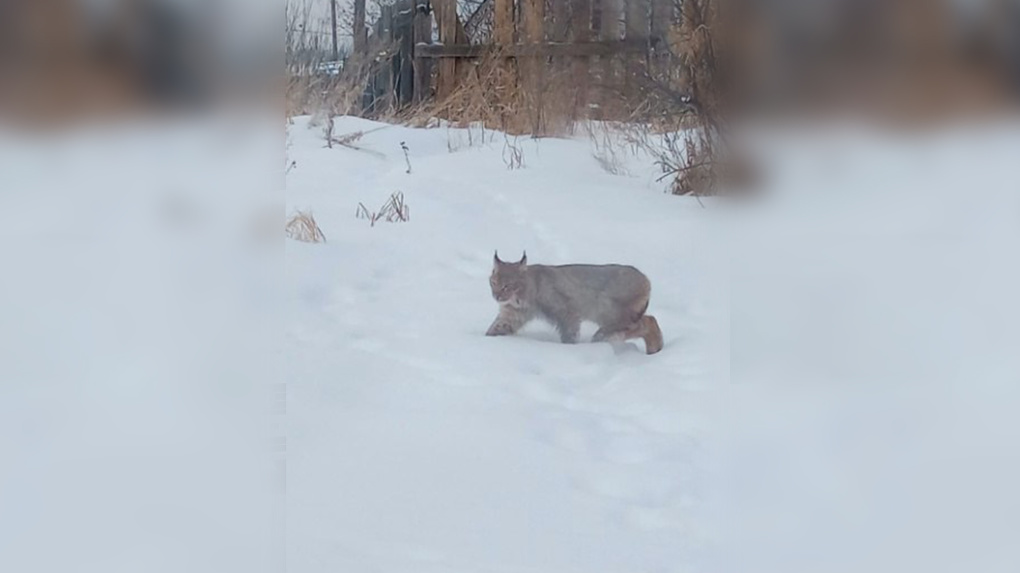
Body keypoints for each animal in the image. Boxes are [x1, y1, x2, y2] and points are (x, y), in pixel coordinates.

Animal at [487, 250, 669, 352]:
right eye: (494, 282)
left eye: (507, 286)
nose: (496, 296)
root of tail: (646, 278)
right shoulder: (512, 315)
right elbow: (495, 328)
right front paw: (485, 340)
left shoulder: (568, 313)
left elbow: (570, 334)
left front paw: (570, 350)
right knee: (650, 319)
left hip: (610, 313)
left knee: (640, 324)